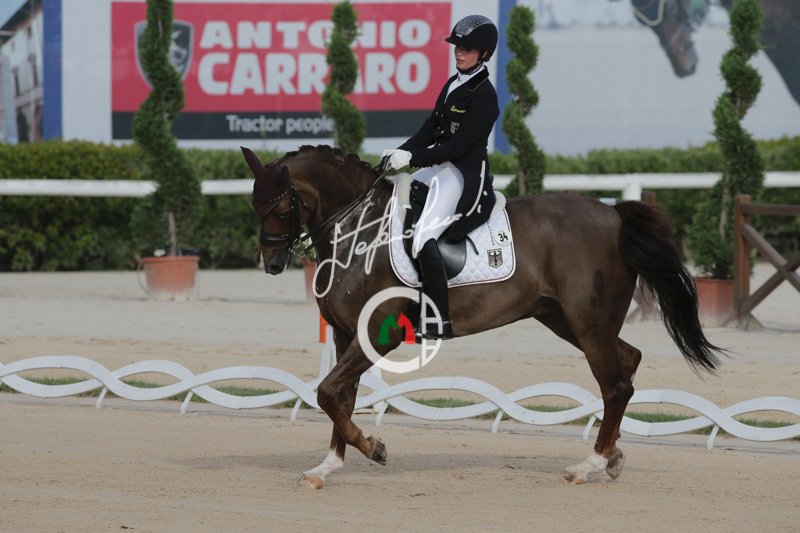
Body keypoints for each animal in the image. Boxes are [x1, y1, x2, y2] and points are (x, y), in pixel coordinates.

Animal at [241, 144, 722, 488]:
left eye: (281, 208)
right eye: (254, 206)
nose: (271, 263)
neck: (360, 228)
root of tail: (613, 213)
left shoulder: (378, 336)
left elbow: (327, 392)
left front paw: (374, 448)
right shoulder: (345, 335)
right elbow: (339, 397)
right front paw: (327, 467)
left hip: (589, 323)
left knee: (616, 384)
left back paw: (589, 464)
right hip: (566, 320)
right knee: (627, 362)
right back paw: (614, 457)